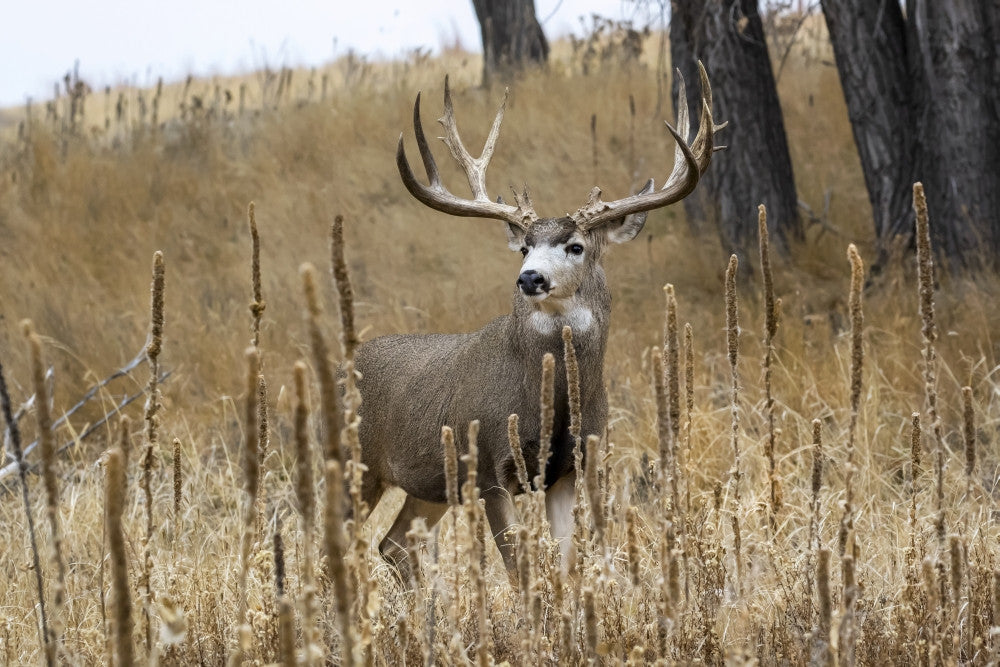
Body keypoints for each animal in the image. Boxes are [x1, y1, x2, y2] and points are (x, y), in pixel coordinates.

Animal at [353, 64, 722, 583]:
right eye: (525, 246)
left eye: (576, 246)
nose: (530, 277)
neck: (553, 404)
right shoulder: (489, 465)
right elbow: (518, 569)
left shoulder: (570, 467)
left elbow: (566, 563)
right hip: (358, 462)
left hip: (428, 485)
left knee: (394, 544)